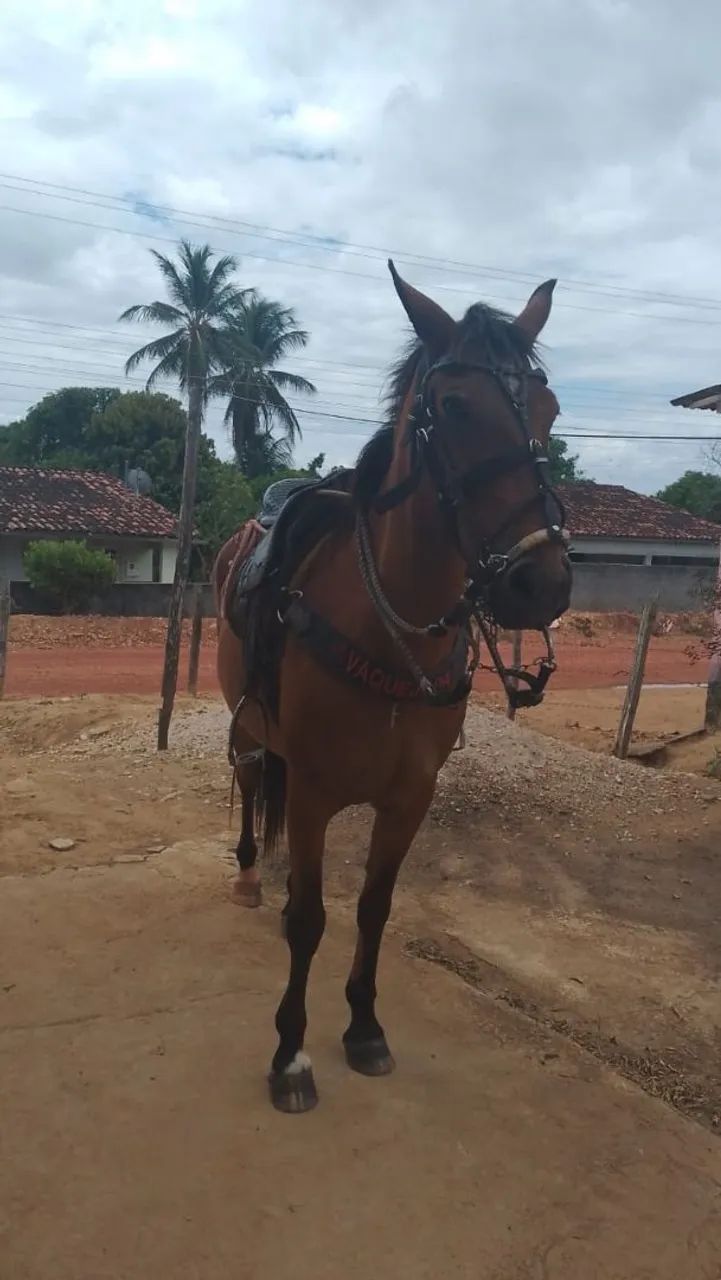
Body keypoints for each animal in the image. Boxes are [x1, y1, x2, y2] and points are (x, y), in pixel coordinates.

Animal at [212, 263, 572, 1113]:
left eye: (547, 411)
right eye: (453, 407)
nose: (539, 581)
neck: (390, 630)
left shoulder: (411, 796)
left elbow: (372, 909)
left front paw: (363, 1028)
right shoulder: (312, 791)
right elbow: (310, 919)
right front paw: (291, 1055)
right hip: (245, 725)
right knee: (247, 783)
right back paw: (247, 875)